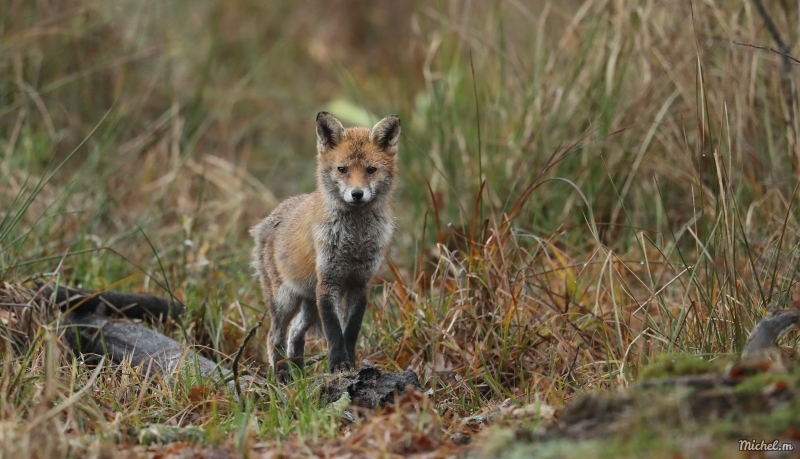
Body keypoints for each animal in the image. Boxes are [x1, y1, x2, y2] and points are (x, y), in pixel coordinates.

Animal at [250, 111, 400, 380]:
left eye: (371, 170)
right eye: (342, 169)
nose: (357, 194)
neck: (354, 241)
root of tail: (267, 221)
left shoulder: (360, 283)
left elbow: (350, 331)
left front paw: (351, 365)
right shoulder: (328, 283)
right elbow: (333, 332)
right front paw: (338, 365)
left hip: (309, 303)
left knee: (295, 333)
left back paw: (300, 374)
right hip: (285, 300)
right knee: (274, 336)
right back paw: (283, 376)